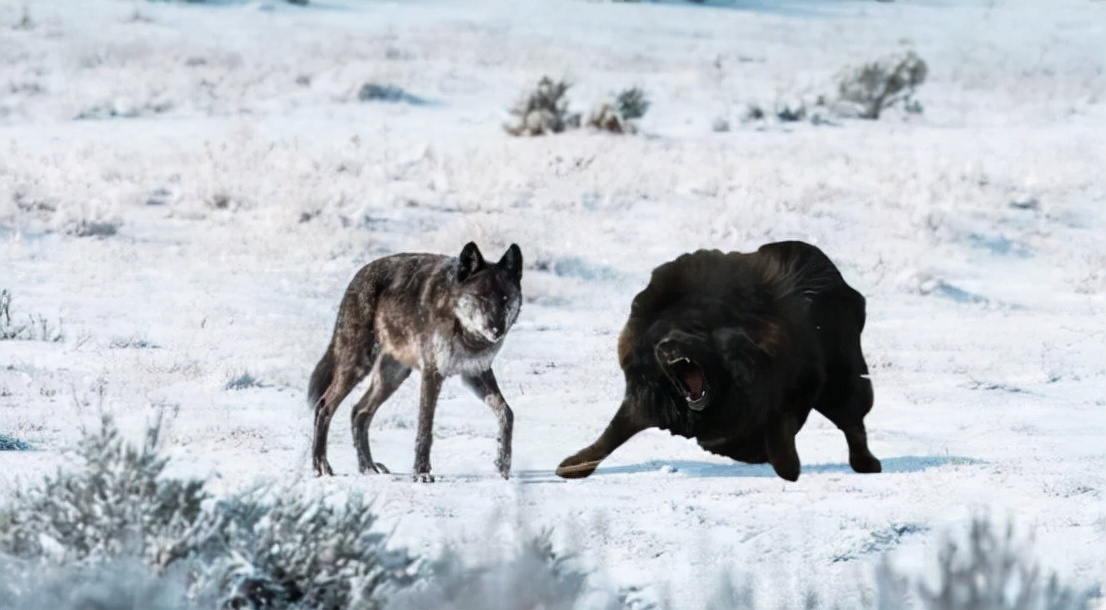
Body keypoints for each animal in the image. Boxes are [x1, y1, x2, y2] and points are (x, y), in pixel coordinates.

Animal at [307, 243, 522, 481]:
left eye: (505, 299)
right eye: (481, 297)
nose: (497, 330)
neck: (465, 333)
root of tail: (358, 276)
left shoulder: (476, 373)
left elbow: (507, 413)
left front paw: (503, 465)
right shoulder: (432, 372)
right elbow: (425, 428)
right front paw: (422, 473)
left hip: (392, 377)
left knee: (359, 412)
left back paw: (368, 467)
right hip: (358, 366)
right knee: (324, 405)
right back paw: (321, 465)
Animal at [557, 239, 884, 481]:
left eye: (696, 329)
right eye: (657, 336)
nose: (666, 347)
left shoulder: (784, 391)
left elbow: (781, 434)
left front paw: (786, 468)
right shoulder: (646, 401)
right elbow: (610, 435)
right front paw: (573, 466)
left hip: (843, 381)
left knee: (853, 421)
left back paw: (866, 463)